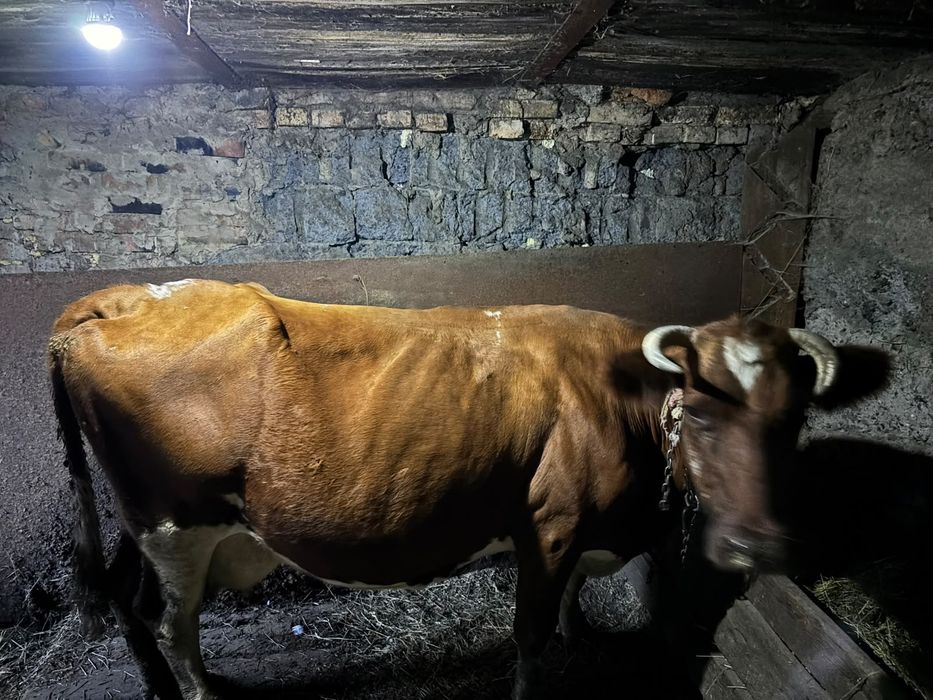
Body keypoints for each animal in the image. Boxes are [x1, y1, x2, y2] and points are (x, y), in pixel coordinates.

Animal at [48, 278, 884, 700]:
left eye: (791, 419)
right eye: (703, 417)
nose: (754, 545)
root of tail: (127, 295)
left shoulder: (580, 536)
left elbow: (571, 604)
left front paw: (582, 641)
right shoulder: (550, 524)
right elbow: (529, 633)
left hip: (151, 529)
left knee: (137, 608)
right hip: (174, 524)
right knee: (170, 625)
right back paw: (199, 693)